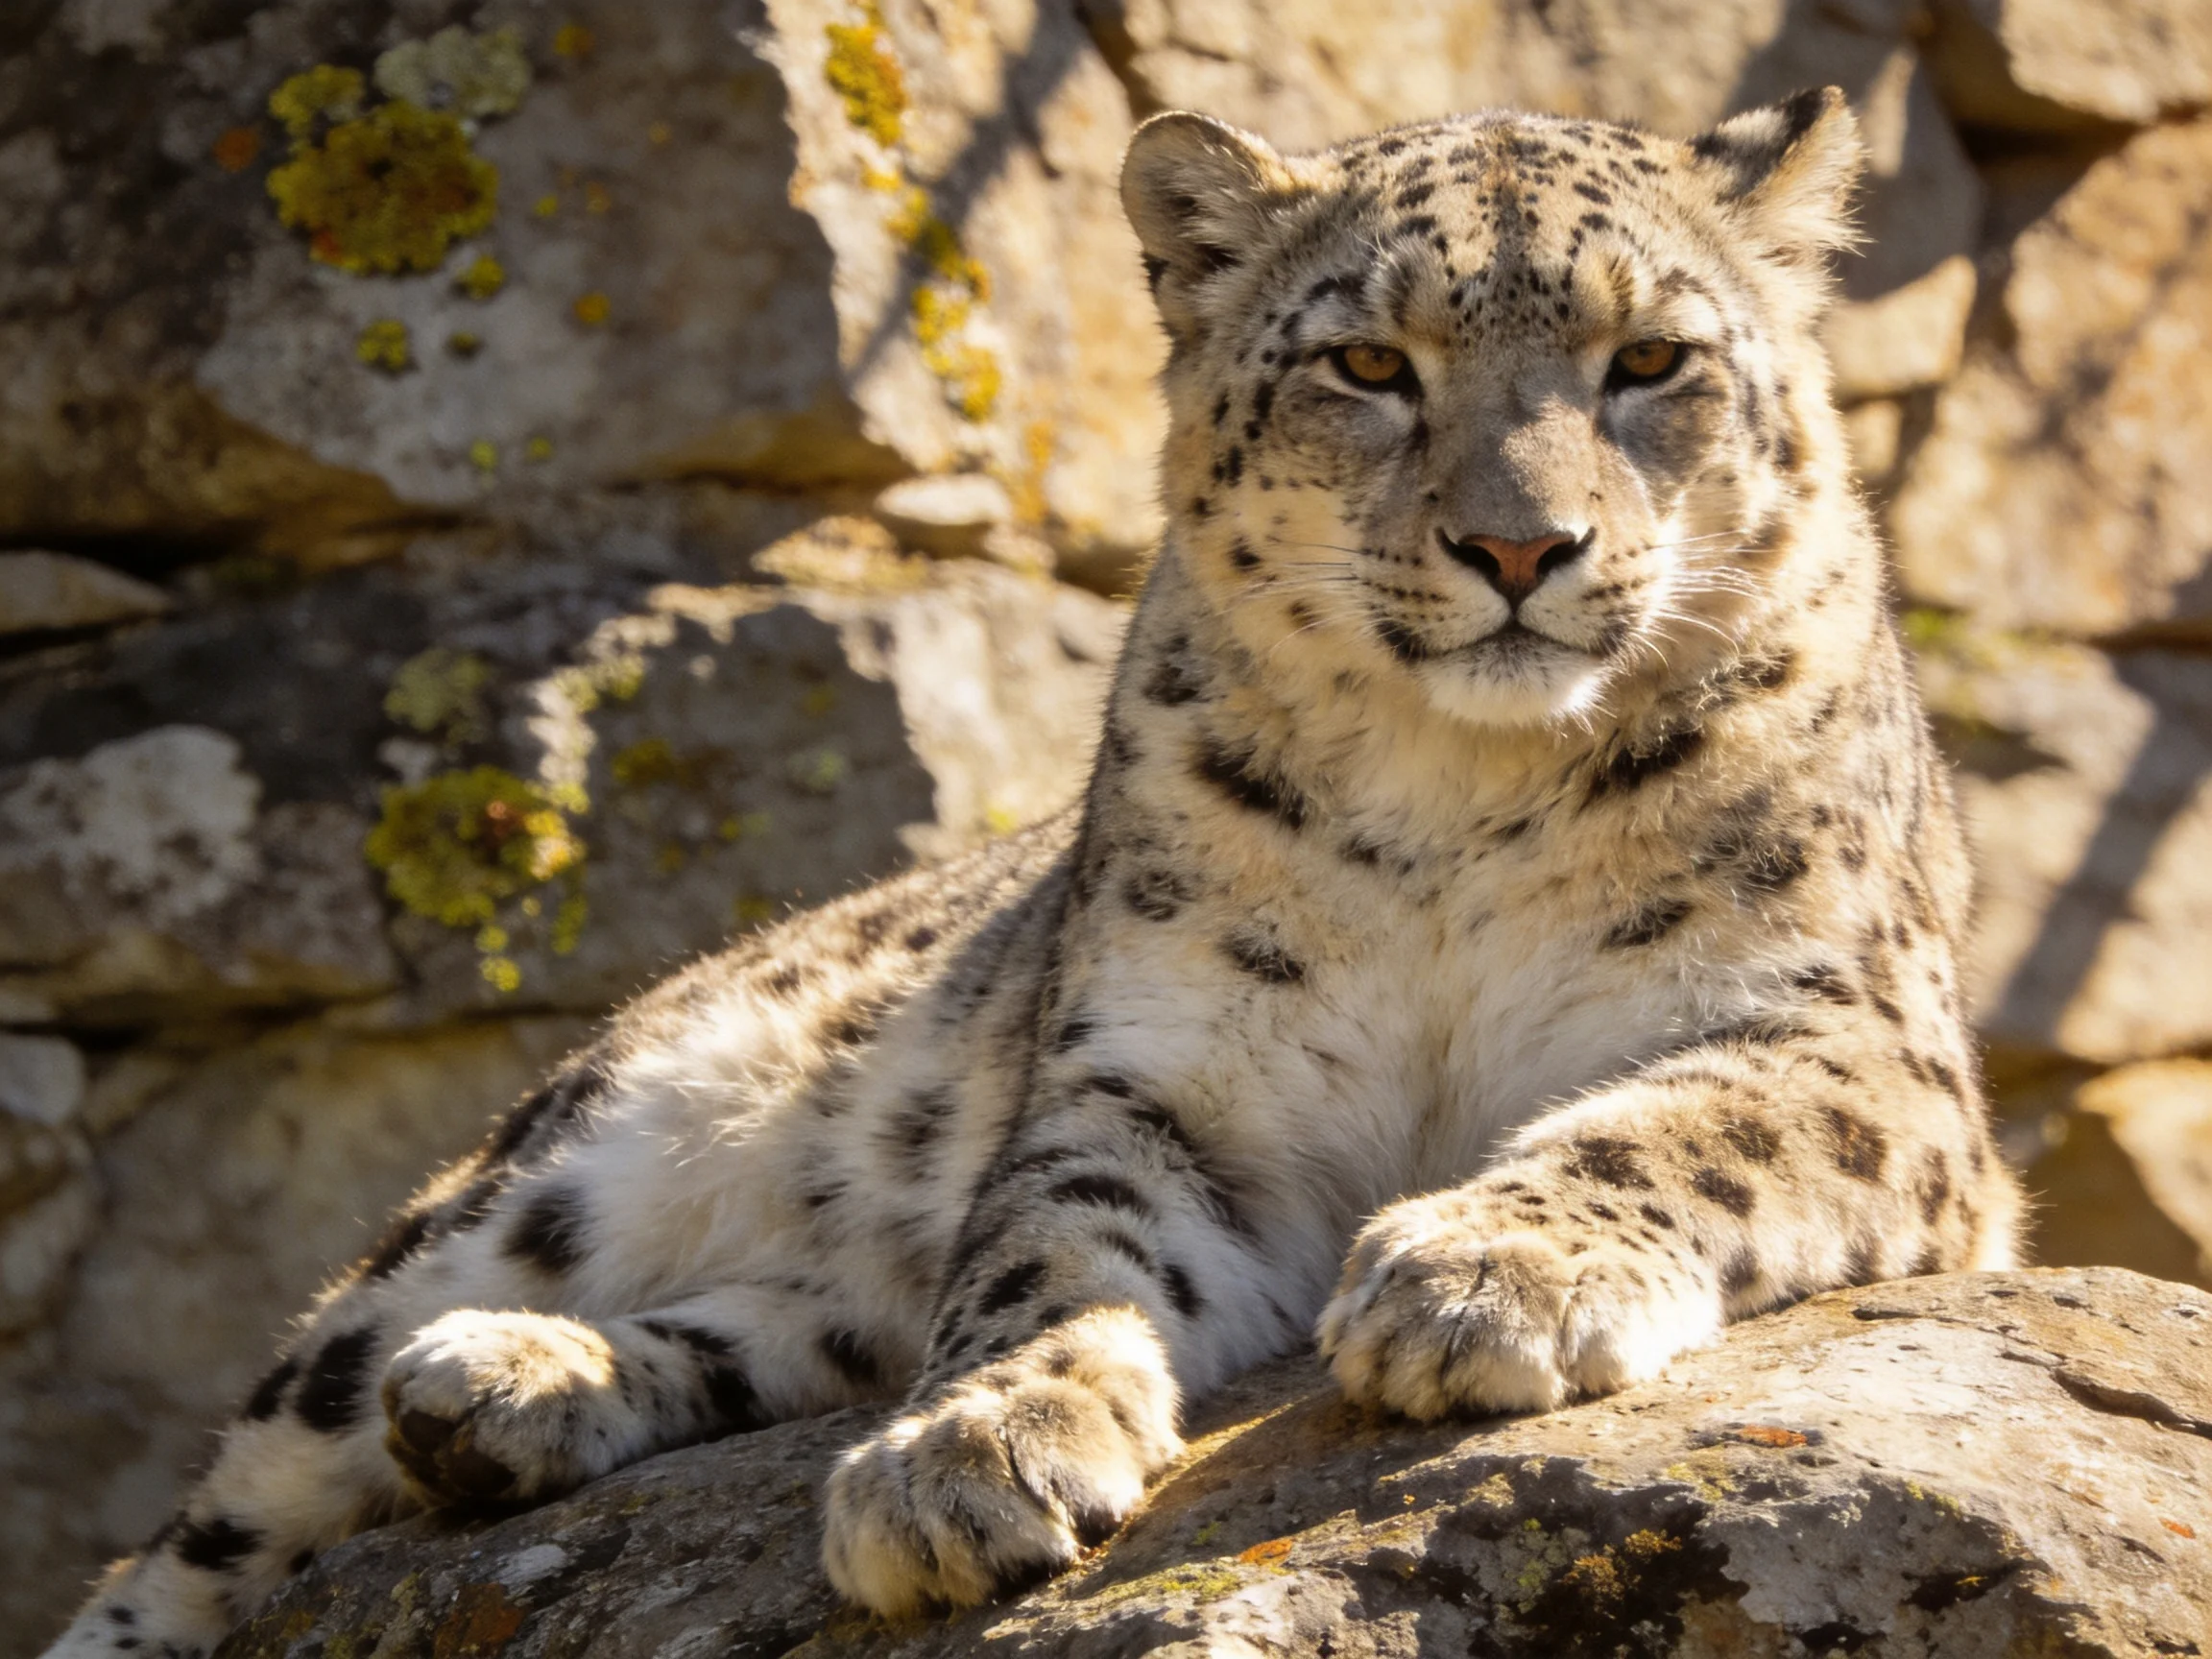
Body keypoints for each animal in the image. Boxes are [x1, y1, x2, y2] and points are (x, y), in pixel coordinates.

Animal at [42, 85, 2022, 1656]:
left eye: (1650, 362)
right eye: (1366, 365)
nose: (1518, 546)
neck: (1456, 797)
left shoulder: (1846, 1035)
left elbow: (1677, 1119)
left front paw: (1482, 1275)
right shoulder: (1159, 1074)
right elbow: (1048, 1251)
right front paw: (974, 1453)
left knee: (796, 1329)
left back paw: (504, 1391)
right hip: (549, 1172)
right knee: (205, 1517)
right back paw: (468, 1387)